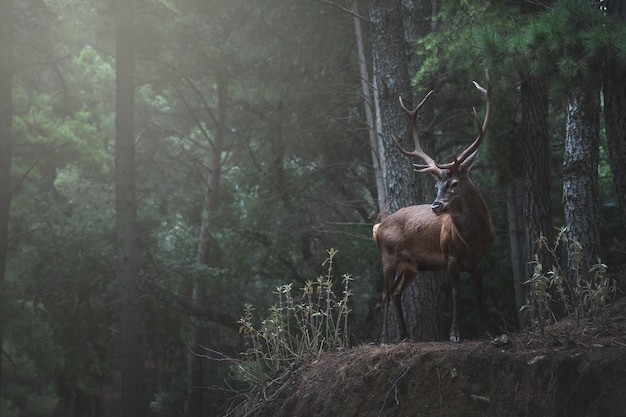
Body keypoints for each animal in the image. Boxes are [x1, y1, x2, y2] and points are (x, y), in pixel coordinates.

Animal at [370, 72, 492, 344]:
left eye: (454, 183)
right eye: (436, 185)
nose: (436, 205)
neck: (473, 240)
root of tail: (378, 226)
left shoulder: (480, 261)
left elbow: (479, 294)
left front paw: (486, 329)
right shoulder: (450, 257)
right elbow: (456, 293)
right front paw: (455, 334)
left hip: (411, 266)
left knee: (396, 293)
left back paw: (406, 336)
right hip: (387, 257)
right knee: (384, 294)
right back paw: (383, 338)